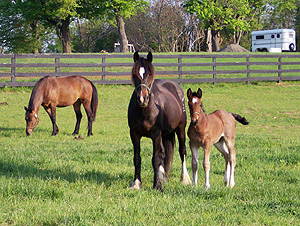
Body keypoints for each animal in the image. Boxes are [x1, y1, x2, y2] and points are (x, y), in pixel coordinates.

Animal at [127, 51, 191, 191]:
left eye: (150, 74)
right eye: (135, 74)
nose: (142, 99)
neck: (145, 110)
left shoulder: (156, 135)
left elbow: (155, 159)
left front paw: (157, 185)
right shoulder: (134, 134)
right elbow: (137, 158)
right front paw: (136, 183)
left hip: (180, 129)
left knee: (182, 151)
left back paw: (185, 179)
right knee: (163, 153)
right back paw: (163, 176)